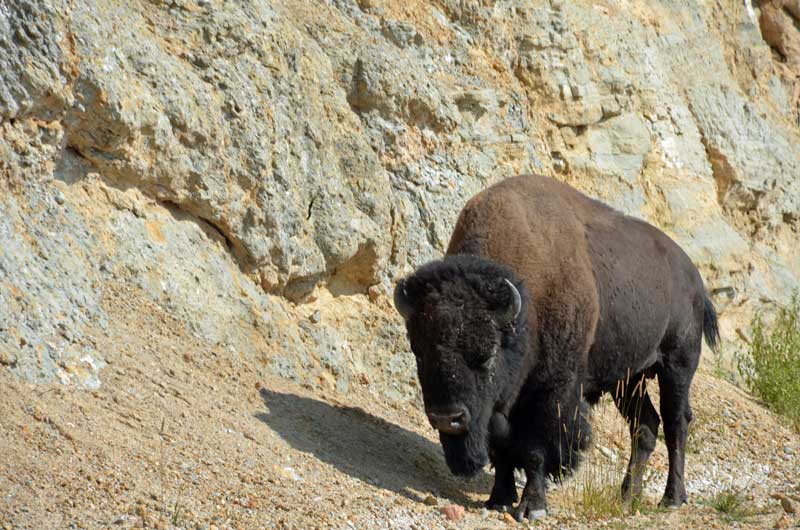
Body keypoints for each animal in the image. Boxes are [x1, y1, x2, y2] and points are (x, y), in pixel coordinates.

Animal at [394, 175, 719, 520]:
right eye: (419, 352)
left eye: (486, 354)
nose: (447, 418)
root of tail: (695, 279)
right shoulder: (503, 404)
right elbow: (502, 444)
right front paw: (499, 499)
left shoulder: (550, 390)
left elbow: (535, 448)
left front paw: (532, 506)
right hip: (628, 379)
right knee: (645, 425)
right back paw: (627, 496)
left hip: (677, 365)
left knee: (675, 423)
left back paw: (672, 497)